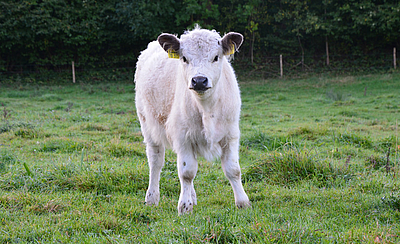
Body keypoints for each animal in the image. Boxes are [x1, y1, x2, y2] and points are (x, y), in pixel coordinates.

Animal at [134, 25, 250, 214]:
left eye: (216, 57)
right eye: (184, 58)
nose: (199, 80)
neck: (207, 108)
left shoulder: (230, 134)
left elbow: (233, 170)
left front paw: (243, 202)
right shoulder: (183, 136)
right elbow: (186, 173)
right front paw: (184, 206)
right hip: (148, 125)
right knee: (156, 162)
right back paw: (152, 197)